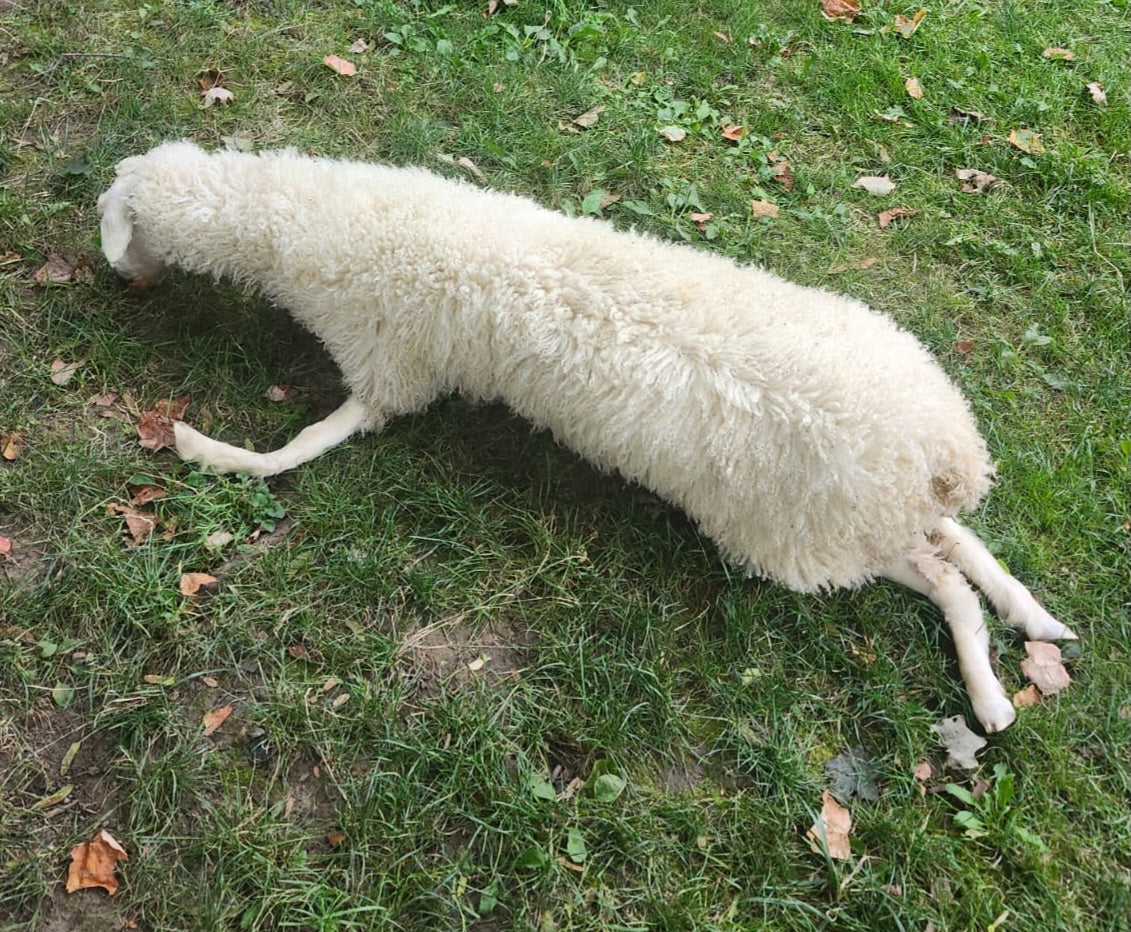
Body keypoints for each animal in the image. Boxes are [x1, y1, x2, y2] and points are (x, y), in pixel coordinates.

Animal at [98, 140, 1076, 733]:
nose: (126, 282)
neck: (306, 223)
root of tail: (943, 454)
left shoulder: (388, 371)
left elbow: (301, 446)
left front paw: (202, 449)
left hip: (801, 539)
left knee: (943, 578)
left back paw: (991, 695)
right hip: (847, 522)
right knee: (957, 548)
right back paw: (1032, 626)